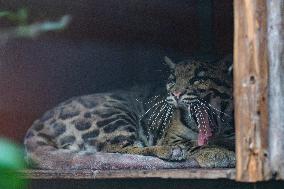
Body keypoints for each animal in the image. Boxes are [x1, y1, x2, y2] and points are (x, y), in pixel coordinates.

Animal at [24, 55, 235, 168]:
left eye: (198, 79)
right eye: (173, 80)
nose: (176, 93)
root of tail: (37, 124)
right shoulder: (172, 137)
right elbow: (193, 144)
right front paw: (216, 153)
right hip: (114, 115)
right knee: (116, 149)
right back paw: (170, 152)